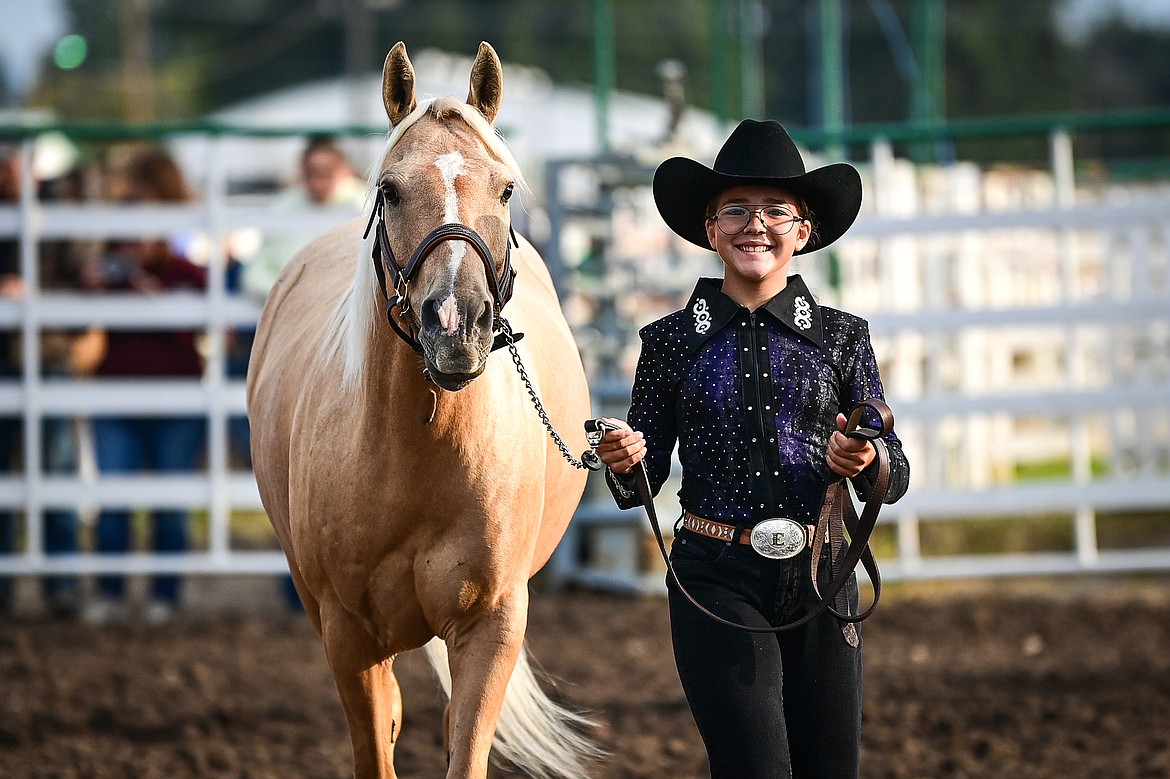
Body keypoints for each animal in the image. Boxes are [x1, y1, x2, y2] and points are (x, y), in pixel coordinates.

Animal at [244, 42, 594, 776]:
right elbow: (375, 748)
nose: (455, 324)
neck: (420, 447)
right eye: (390, 190)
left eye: (506, 189)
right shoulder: (347, 634)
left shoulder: (491, 625)